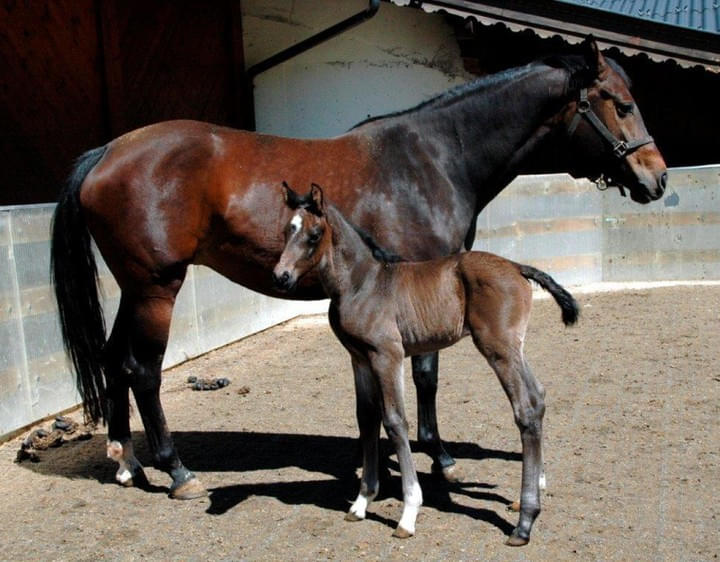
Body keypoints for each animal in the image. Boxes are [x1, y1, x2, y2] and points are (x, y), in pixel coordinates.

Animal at [50, 38, 668, 494]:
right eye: (620, 102)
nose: (658, 178)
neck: (433, 159)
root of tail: (106, 153)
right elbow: (426, 373)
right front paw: (438, 455)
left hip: (134, 289)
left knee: (114, 361)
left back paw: (127, 461)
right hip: (158, 287)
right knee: (143, 370)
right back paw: (177, 471)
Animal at [272, 184, 580, 544]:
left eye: (314, 234)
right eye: (286, 230)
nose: (281, 276)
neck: (362, 283)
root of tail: (518, 266)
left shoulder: (387, 355)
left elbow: (395, 421)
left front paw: (408, 512)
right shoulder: (359, 358)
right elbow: (366, 419)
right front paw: (362, 502)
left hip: (498, 348)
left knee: (526, 407)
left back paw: (525, 521)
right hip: (513, 348)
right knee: (538, 397)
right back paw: (532, 493)